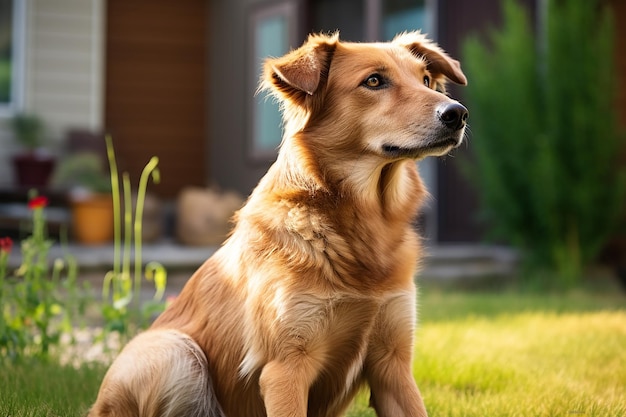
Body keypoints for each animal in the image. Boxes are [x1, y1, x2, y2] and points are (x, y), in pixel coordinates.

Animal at [90, 31, 466, 416]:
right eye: (374, 81)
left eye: (425, 80)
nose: (457, 113)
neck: (360, 223)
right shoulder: (285, 368)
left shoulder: (393, 364)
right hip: (175, 350)